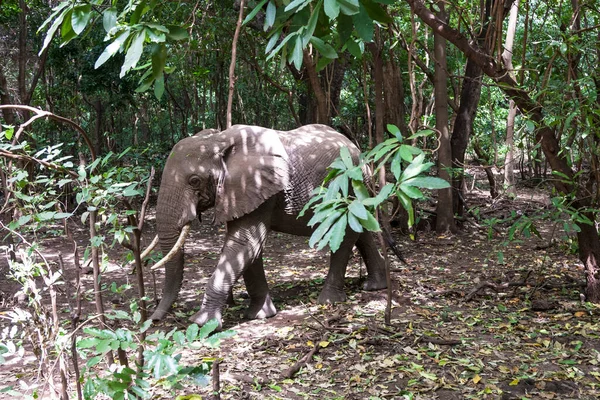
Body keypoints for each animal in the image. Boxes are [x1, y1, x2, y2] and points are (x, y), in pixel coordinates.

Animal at [149, 123, 384, 326]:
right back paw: (373, 286)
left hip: (350, 186)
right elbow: (249, 249)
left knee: (345, 235)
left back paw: (329, 300)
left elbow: (244, 244)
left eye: (194, 181)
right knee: (361, 230)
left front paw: (202, 324)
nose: (155, 319)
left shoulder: (259, 187)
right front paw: (261, 315)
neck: (219, 140)